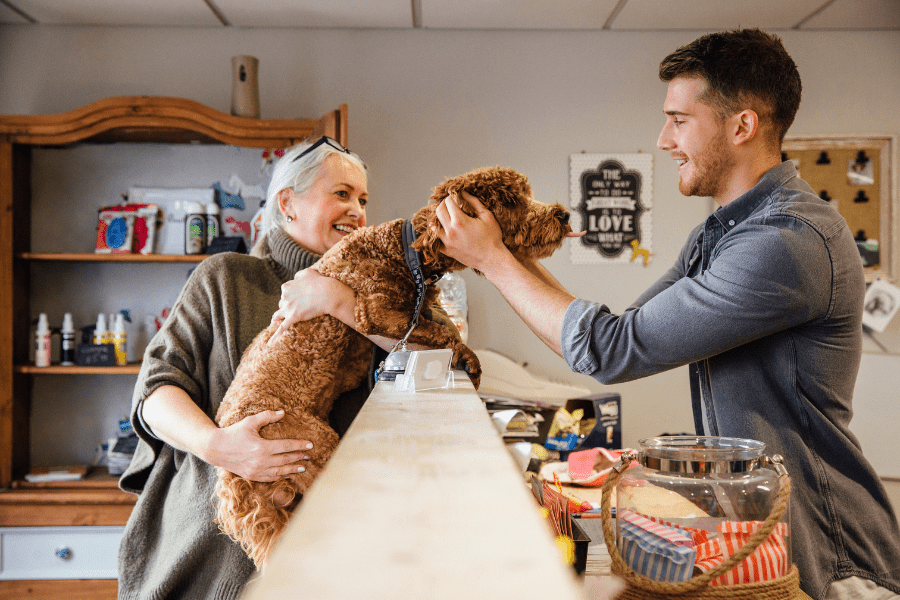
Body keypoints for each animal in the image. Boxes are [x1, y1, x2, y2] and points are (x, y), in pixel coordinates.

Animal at [214, 165, 576, 568]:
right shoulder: (376, 311)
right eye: (512, 200)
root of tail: (233, 477)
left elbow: (437, 326)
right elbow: (441, 332)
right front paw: (469, 359)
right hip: (311, 447)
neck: (405, 251)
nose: (564, 215)